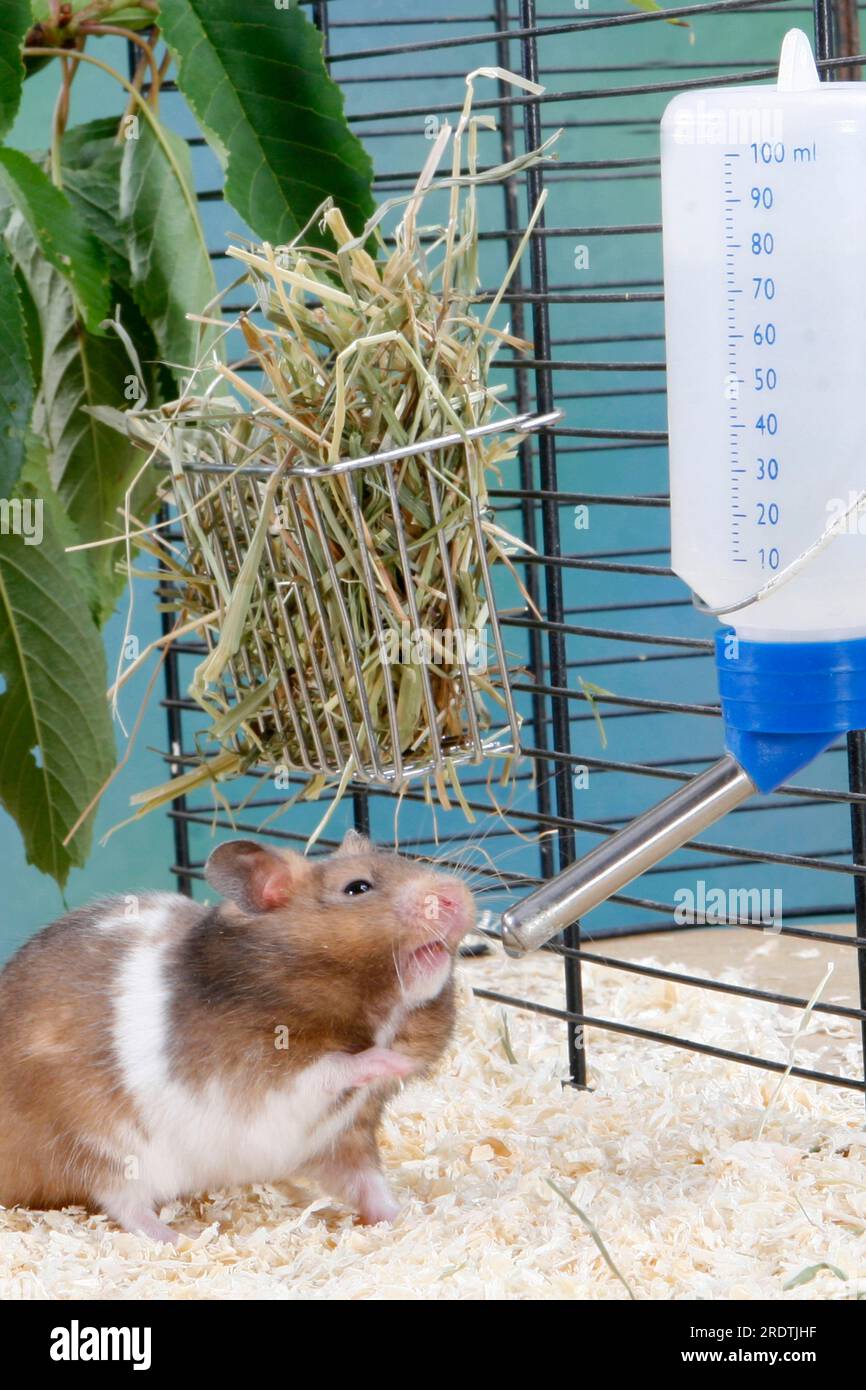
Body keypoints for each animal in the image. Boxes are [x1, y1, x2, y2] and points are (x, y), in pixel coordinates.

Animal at [0, 828, 475, 1245]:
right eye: (357, 888)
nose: (459, 894)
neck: (382, 1016)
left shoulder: (345, 1133)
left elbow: (368, 1182)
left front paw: (404, 1218)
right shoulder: (262, 1077)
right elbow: (335, 1067)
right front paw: (394, 1062)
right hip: (99, 1144)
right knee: (122, 1202)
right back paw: (180, 1239)